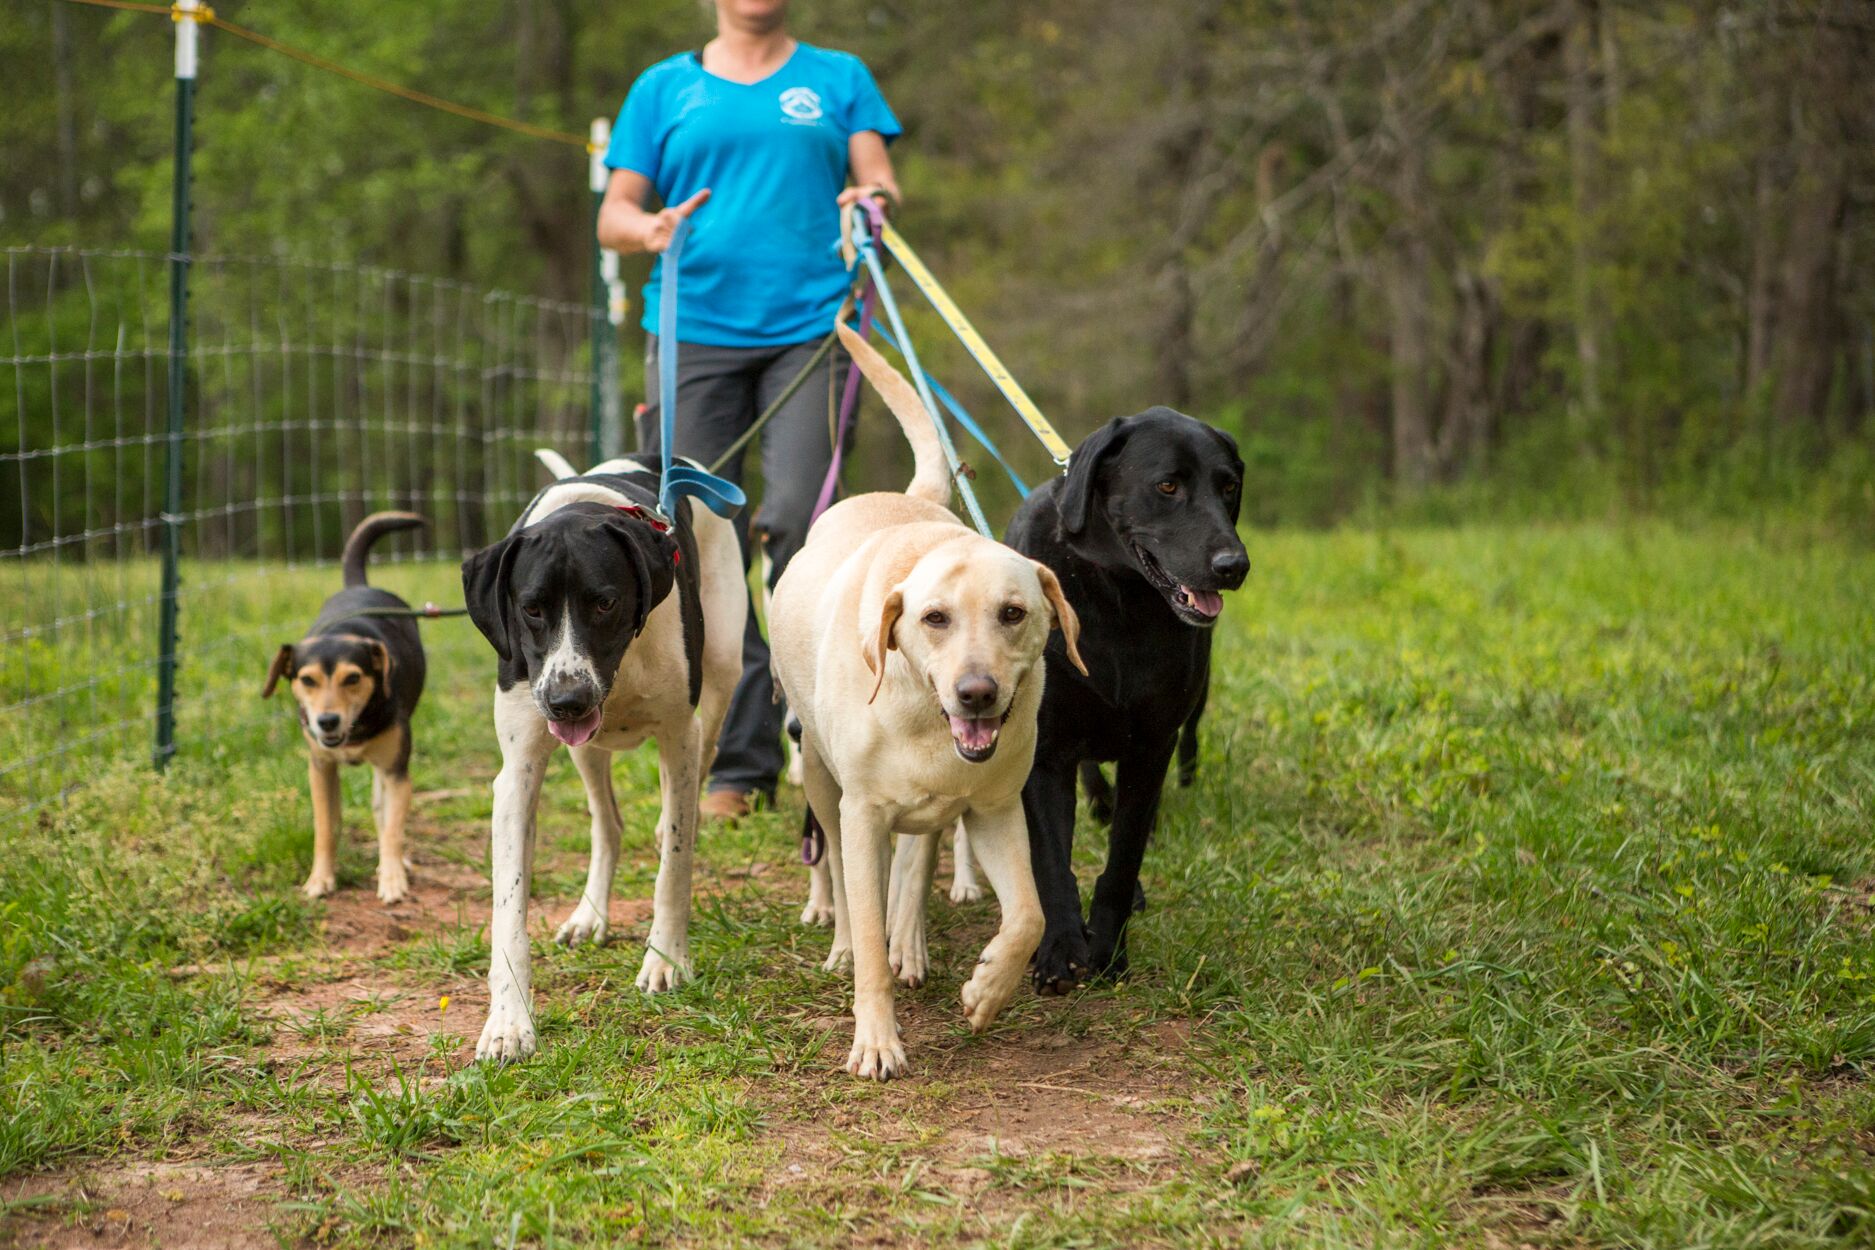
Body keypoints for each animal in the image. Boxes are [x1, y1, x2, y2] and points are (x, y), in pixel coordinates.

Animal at [264, 513, 429, 903]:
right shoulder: (320, 768)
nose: (327, 721)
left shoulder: (396, 771)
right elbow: (326, 827)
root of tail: (359, 586)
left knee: (383, 812)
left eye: (353, 678)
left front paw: (392, 879)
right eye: (307, 680)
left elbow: (392, 827)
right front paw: (319, 879)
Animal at [461, 455, 746, 1064]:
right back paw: (590, 915)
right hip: (584, 750)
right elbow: (509, 911)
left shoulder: (679, 737)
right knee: (607, 823)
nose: (567, 700)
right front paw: (509, 1022)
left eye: (605, 602)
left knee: (692, 783)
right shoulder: (518, 773)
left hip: (720, 676)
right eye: (531, 608)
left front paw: (666, 959)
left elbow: (675, 867)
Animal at [1005, 416, 1252, 989]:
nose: (1234, 565)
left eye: (1229, 486)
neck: (1119, 599)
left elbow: (1123, 859)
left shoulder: (1151, 747)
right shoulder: (1045, 752)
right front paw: (1059, 949)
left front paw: (1107, 951)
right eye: (1167, 486)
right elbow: (1052, 862)